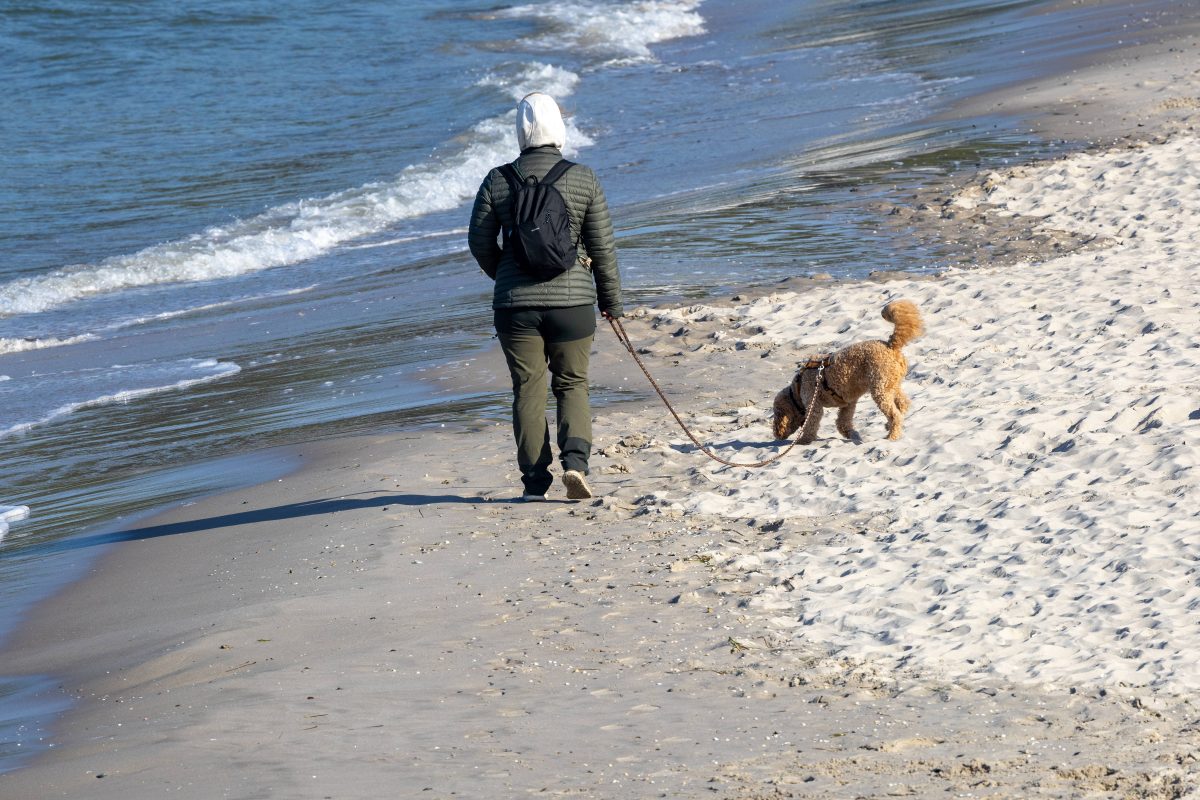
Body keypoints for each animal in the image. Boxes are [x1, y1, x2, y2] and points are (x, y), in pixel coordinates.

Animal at [772, 302, 921, 443]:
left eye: (776, 414)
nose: (776, 434)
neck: (797, 389)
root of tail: (890, 345)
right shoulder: (848, 405)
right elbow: (842, 423)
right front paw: (853, 435)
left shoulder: (814, 406)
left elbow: (811, 425)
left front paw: (803, 440)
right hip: (890, 385)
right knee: (903, 405)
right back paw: (888, 425)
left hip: (880, 390)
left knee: (895, 415)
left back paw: (892, 435)